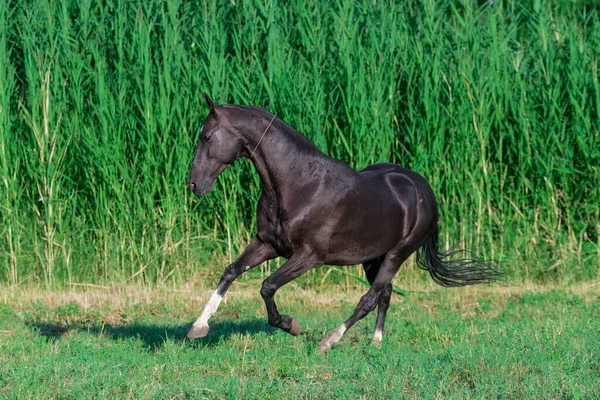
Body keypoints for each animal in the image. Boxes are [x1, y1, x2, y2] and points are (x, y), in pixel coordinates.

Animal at [188, 94, 502, 354]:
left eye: (206, 137)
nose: (194, 185)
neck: (299, 185)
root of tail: (425, 189)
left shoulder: (309, 256)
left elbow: (267, 286)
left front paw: (291, 325)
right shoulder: (267, 244)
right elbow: (230, 272)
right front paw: (199, 326)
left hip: (398, 254)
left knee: (369, 299)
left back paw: (330, 340)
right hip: (373, 258)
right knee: (385, 294)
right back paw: (375, 342)